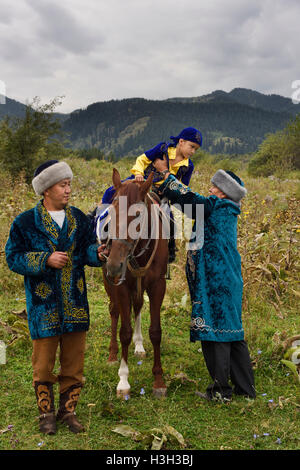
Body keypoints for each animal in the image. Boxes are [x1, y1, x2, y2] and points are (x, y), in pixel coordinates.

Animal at [101, 168, 169, 396]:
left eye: (138, 215)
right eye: (112, 210)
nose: (114, 264)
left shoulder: (158, 285)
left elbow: (155, 332)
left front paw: (159, 380)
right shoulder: (121, 286)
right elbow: (124, 332)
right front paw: (123, 380)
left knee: (138, 306)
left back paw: (139, 346)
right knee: (114, 311)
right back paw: (113, 354)